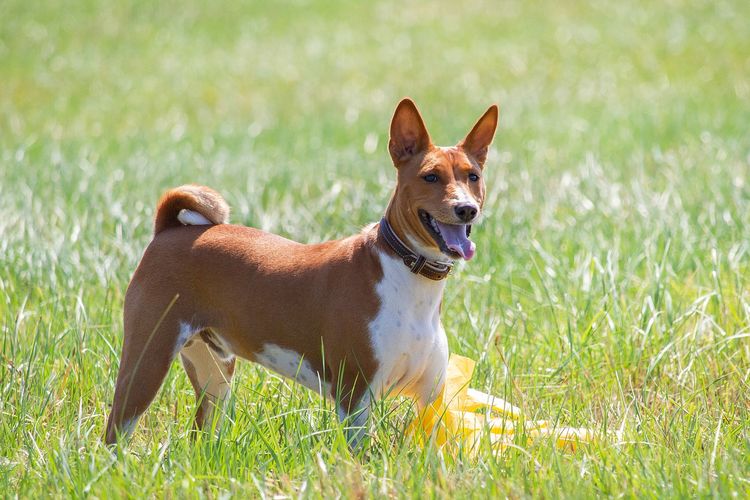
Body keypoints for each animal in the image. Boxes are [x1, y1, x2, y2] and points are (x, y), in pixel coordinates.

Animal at [103, 97, 496, 446]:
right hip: (147, 361)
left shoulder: (431, 399)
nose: (465, 209)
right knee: (115, 432)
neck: (408, 276)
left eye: (472, 176)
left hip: (215, 373)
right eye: (430, 177)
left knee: (201, 434)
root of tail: (168, 230)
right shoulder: (355, 397)